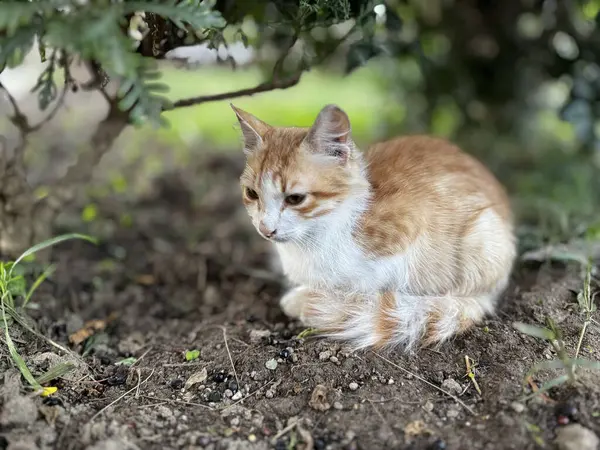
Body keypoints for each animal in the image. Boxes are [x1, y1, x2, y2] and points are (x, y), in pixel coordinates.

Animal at [230, 103, 516, 350]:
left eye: (295, 198)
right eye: (252, 193)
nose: (265, 229)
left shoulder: (409, 231)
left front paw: (316, 301)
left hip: (484, 236)